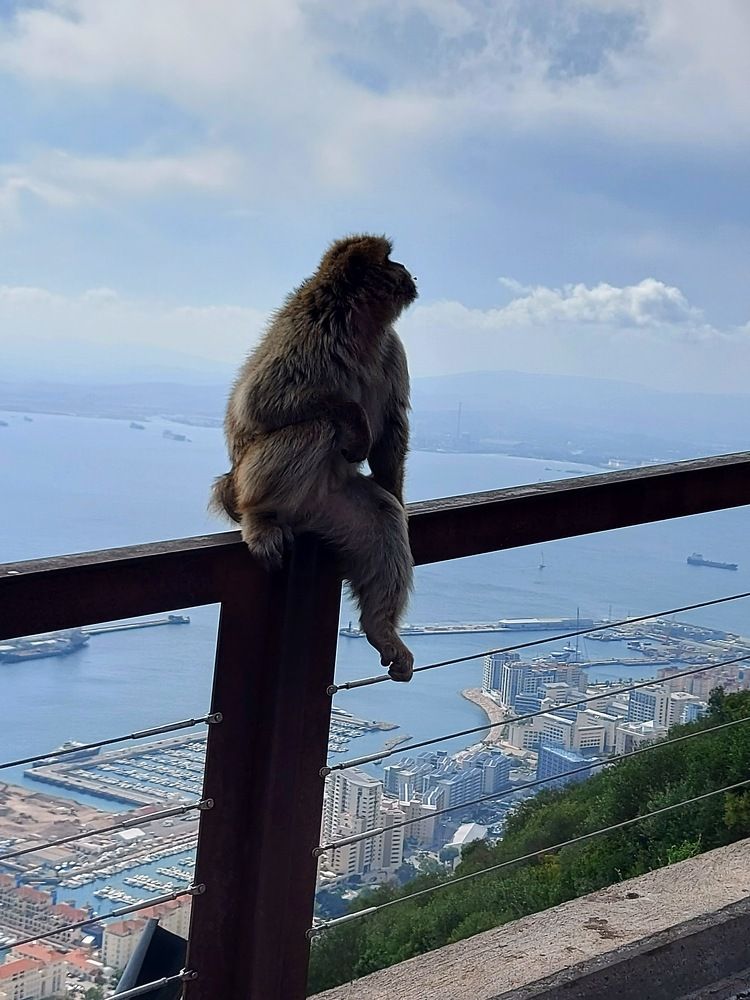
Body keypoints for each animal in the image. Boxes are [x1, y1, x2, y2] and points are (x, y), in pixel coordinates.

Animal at [210, 234, 418, 682]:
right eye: (391, 260)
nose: (410, 271)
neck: (360, 328)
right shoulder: (311, 333)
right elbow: (261, 402)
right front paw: (356, 423)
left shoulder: (393, 349)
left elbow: (392, 429)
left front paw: (396, 491)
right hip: (248, 478)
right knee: (316, 427)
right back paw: (261, 518)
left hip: (336, 508)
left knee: (383, 516)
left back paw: (380, 627)